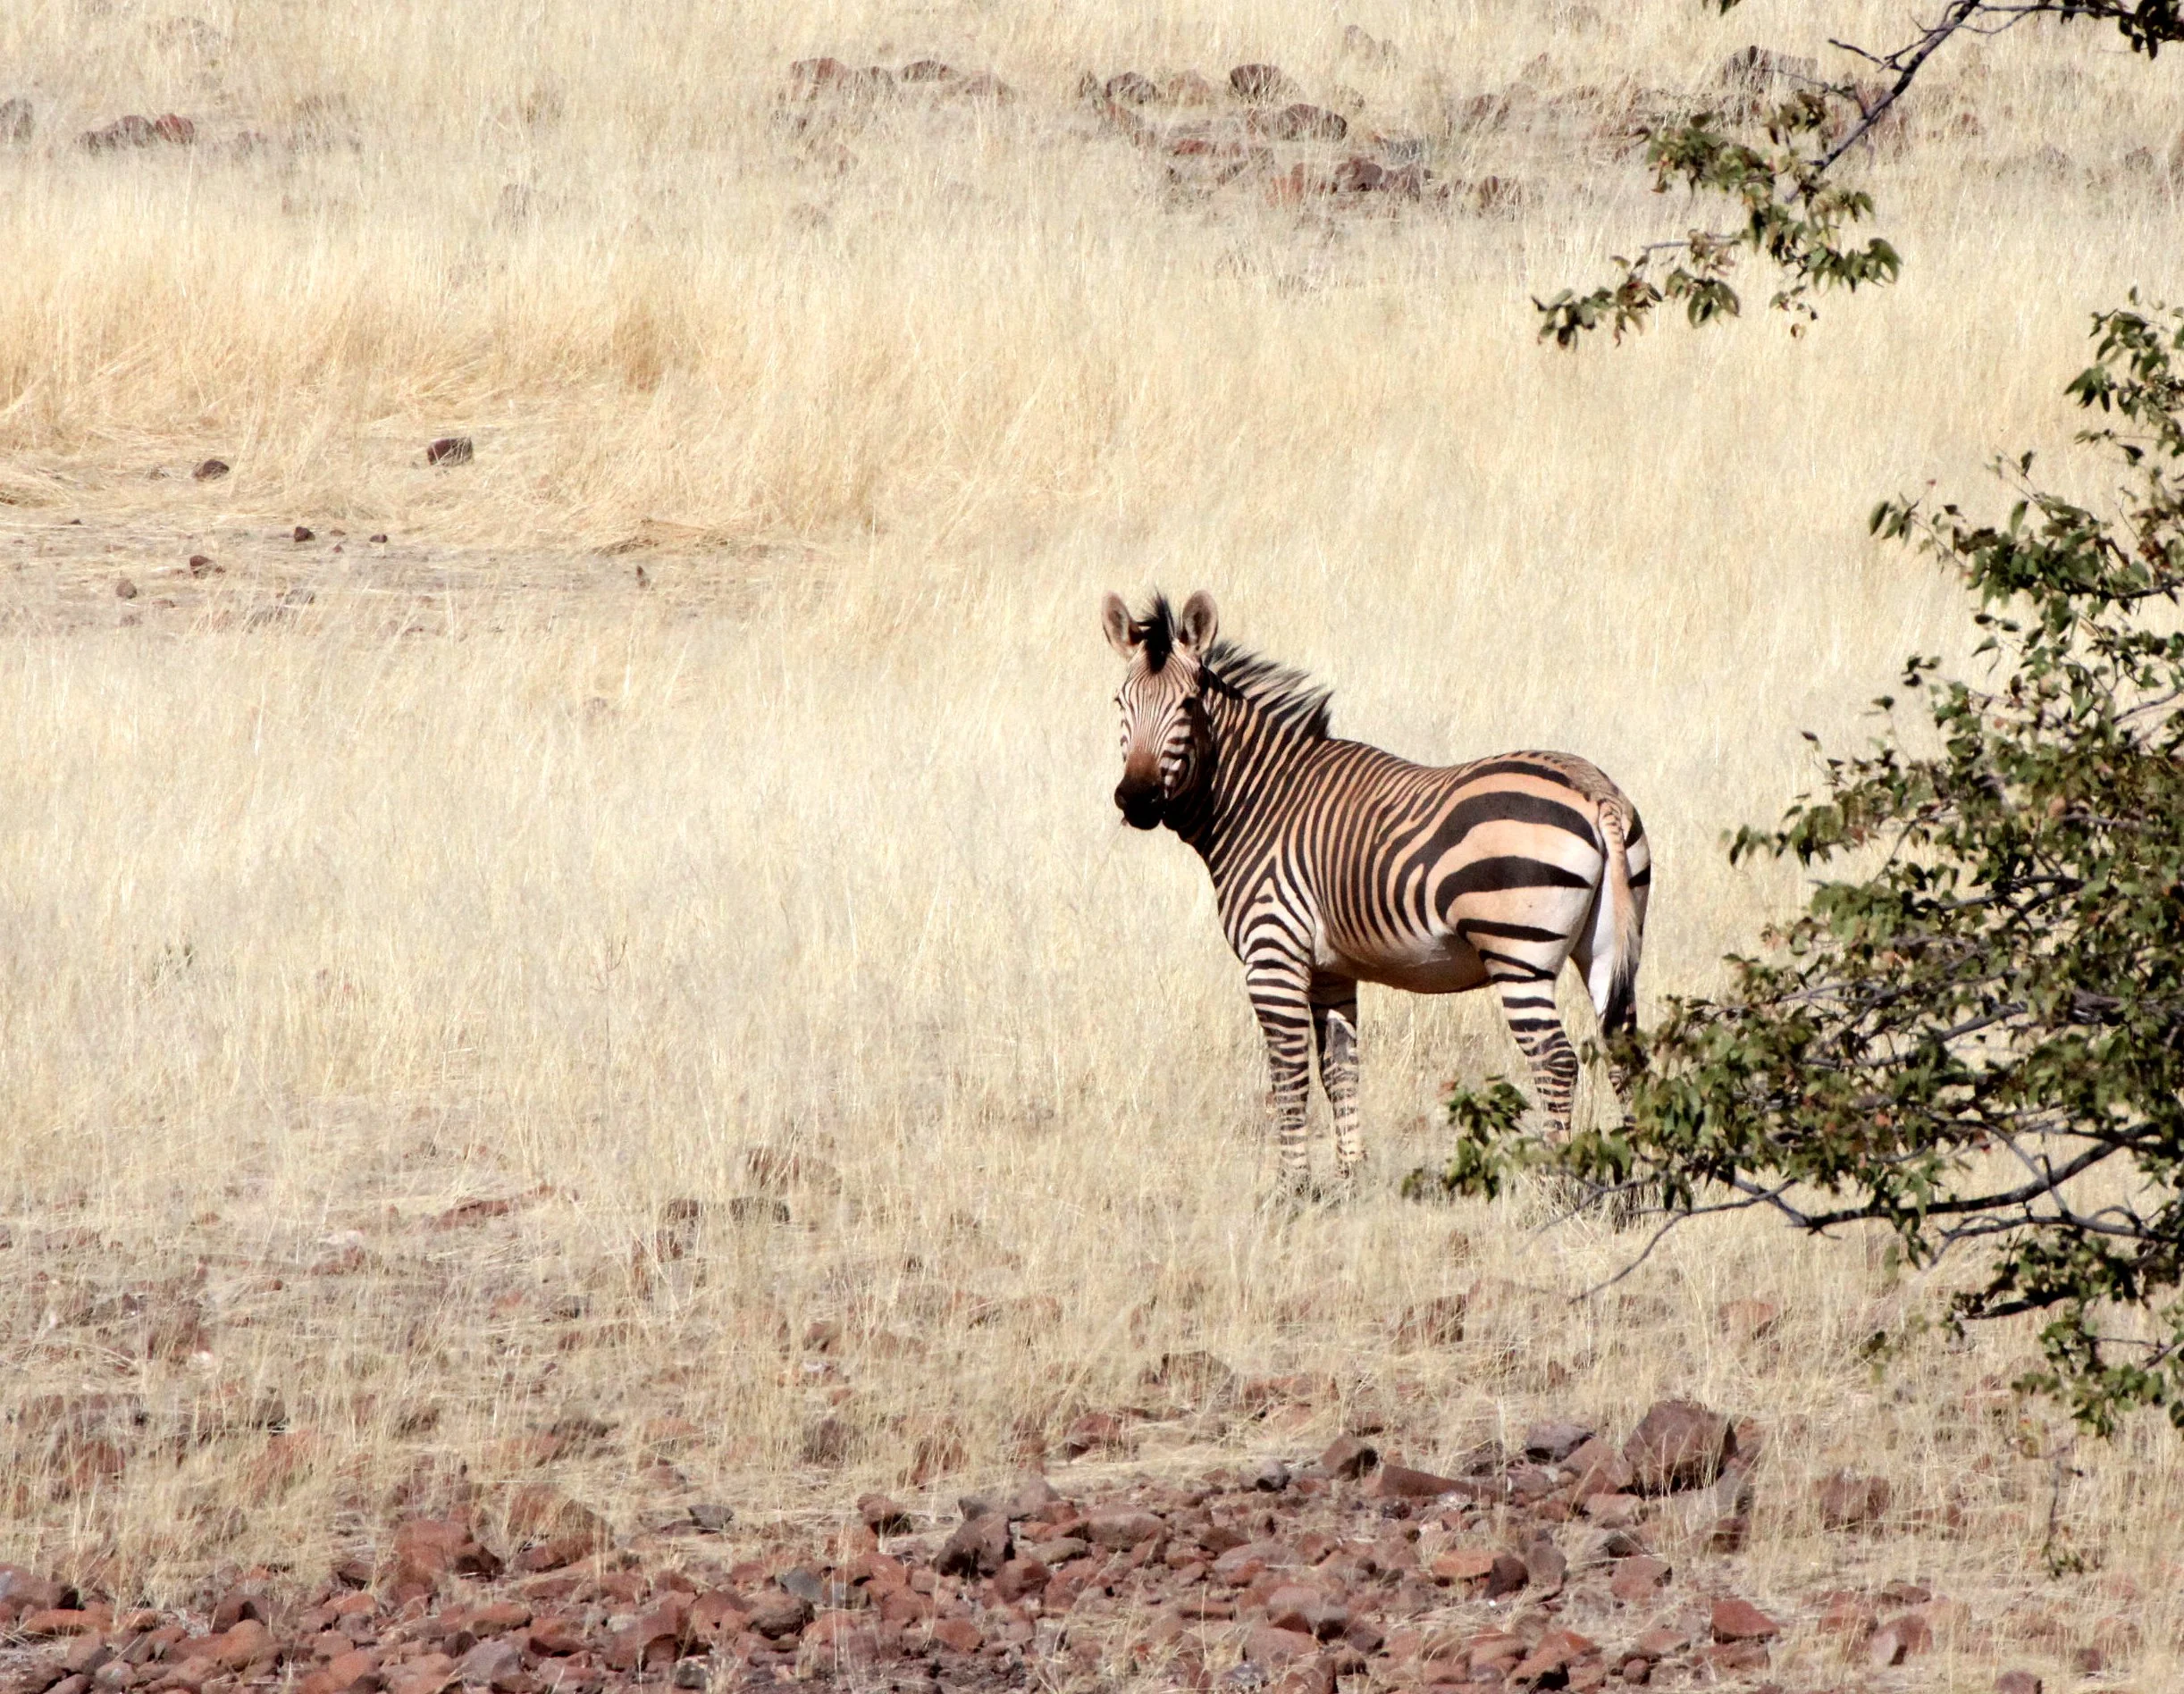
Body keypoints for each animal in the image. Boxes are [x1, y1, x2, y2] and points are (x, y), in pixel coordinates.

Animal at [1102, 588, 1650, 1189]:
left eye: (1187, 705)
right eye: (1119, 702)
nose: (1136, 799)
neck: (1257, 802)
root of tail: (1595, 791)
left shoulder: (1272, 957)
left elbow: (1290, 1075)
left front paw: (1292, 1188)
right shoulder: (1331, 970)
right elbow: (1340, 1068)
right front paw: (1349, 1177)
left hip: (1517, 952)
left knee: (1555, 1060)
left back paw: (1554, 1186)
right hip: (1607, 946)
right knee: (1624, 1052)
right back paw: (1645, 1177)